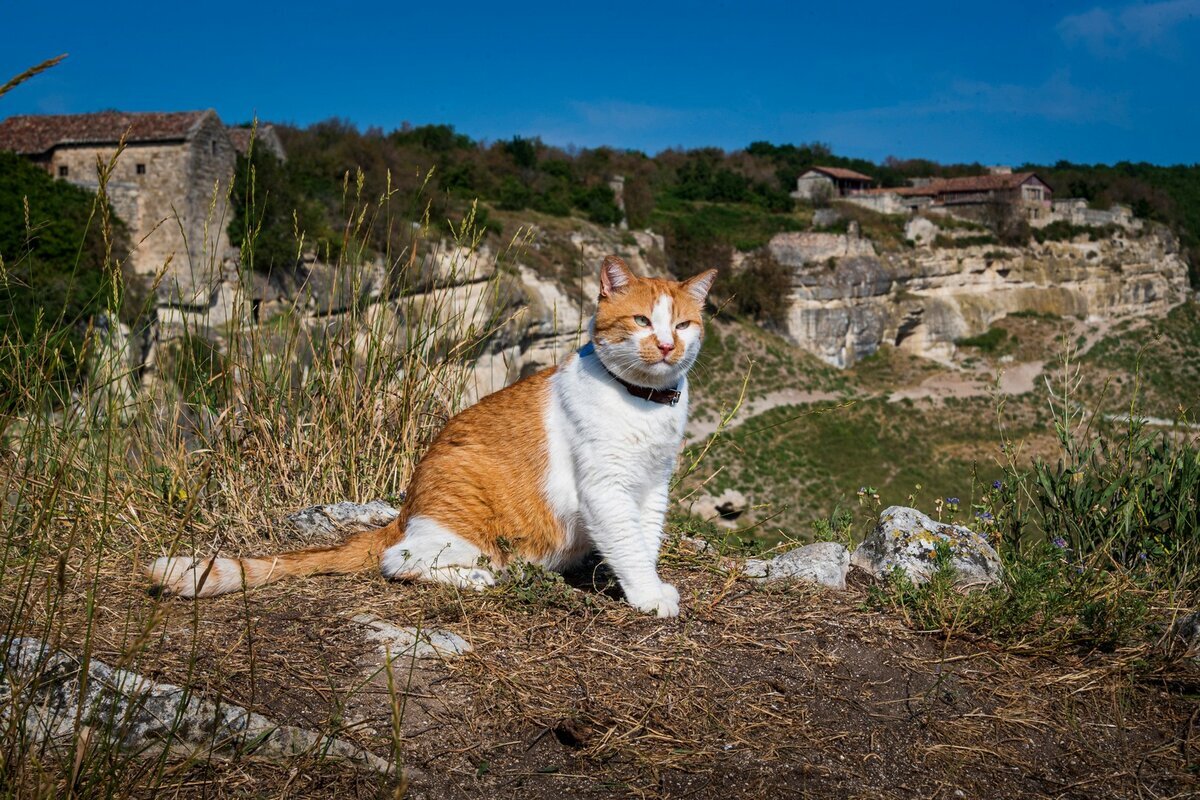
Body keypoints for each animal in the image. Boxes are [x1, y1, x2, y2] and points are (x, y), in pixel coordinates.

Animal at [145, 256, 715, 618]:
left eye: (683, 325)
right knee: (398, 560)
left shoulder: (652, 487)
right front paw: (647, 595)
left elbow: (645, 539)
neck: (643, 402)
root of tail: (403, 512)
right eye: (640, 320)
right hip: (464, 529)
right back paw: (476, 578)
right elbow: (628, 542)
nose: (667, 345)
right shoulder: (605, 488)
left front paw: (647, 581)